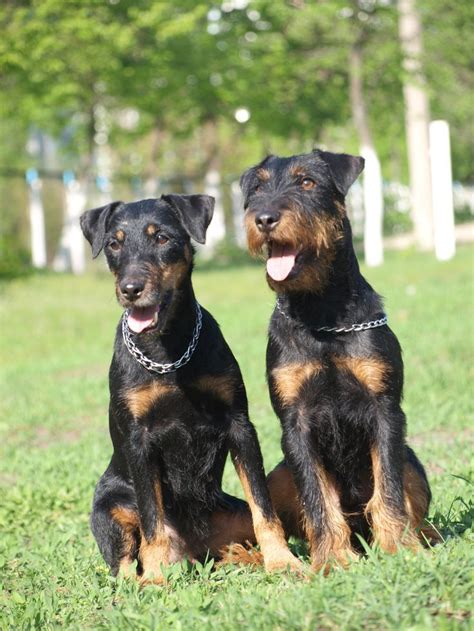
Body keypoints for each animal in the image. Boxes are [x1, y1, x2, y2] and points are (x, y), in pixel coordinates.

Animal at [78, 196, 300, 584]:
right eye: (114, 244)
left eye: (162, 238)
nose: (130, 289)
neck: (168, 352)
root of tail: (194, 551)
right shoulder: (139, 441)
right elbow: (152, 520)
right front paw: (155, 578)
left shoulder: (239, 424)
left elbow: (264, 507)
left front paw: (282, 561)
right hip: (110, 505)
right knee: (125, 564)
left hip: (229, 515)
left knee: (241, 538)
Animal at [239, 149, 436, 572]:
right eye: (258, 188)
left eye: (307, 182)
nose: (264, 218)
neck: (322, 315)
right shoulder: (295, 422)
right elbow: (317, 499)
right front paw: (332, 559)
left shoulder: (384, 410)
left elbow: (389, 490)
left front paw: (398, 548)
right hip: (279, 474)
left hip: (413, 463)